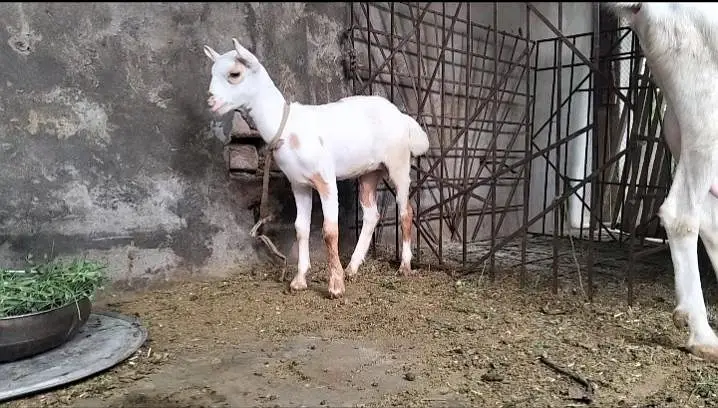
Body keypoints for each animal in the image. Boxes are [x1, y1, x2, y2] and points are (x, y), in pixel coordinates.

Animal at [202, 39, 430, 299]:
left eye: (235, 74)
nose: (211, 101)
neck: (287, 127)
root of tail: (402, 118)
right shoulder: (299, 184)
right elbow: (301, 228)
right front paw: (299, 280)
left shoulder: (326, 179)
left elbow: (329, 231)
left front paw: (335, 286)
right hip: (369, 172)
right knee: (371, 213)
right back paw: (352, 267)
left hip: (398, 163)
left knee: (405, 211)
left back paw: (404, 266)